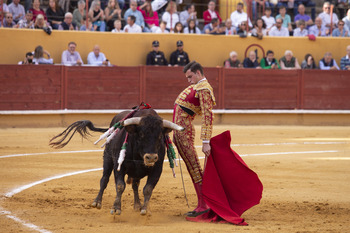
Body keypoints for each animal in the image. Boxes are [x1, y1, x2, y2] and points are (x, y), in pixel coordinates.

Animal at [51, 109, 186, 215]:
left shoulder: (157, 169)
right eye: (141, 134)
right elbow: (120, 185)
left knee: (135, 185)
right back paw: (97, 202)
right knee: (104, 179)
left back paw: (137, 205)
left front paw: (145, 209)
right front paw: (116, 208)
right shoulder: (119, 165)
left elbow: (148, 188)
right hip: (107, 158)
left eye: (160, 136)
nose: (151, 157)